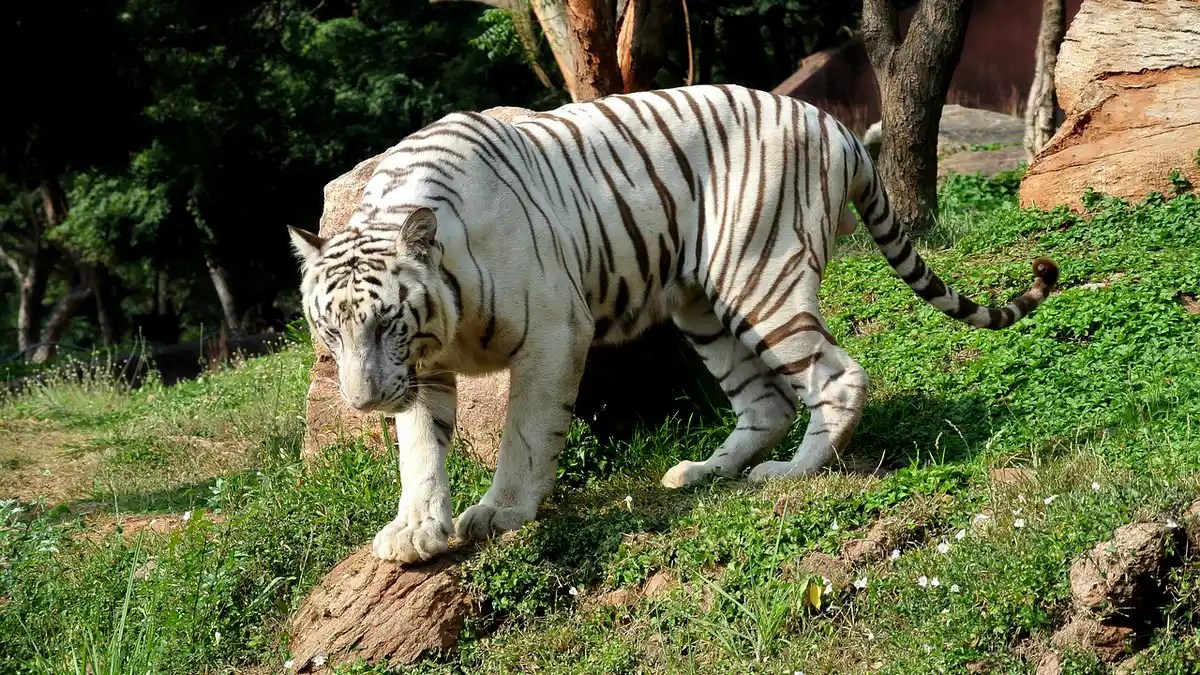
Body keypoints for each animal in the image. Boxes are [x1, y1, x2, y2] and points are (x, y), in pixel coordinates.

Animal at [288, 84, 1058, 565]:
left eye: (386, 322)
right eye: (330, 331)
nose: (361, 401)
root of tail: (836, 125)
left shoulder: (552, 333)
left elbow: (523, 433)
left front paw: (502, 512)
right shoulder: (425, 367)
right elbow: (420, 447)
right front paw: (416, 529)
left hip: (759, 272)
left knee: (835, 376)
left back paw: (792, 471)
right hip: (701, 304)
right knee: (766, 399)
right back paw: (702, 472)